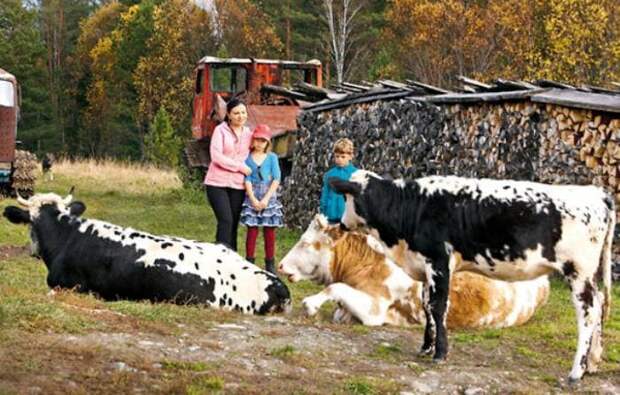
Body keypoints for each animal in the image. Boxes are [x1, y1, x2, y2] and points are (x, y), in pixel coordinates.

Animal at [332, 171, 612, 384]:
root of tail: (596, 193)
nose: (341, 224)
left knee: (588, 314)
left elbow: (438, 307)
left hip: (578, 271)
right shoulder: (425, 267)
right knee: (599, 305)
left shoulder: (439, 262)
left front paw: (440, 353)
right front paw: (425, 347)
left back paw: (576, 372)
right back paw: (592, 362)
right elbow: (427, 306)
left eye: (346, 197)